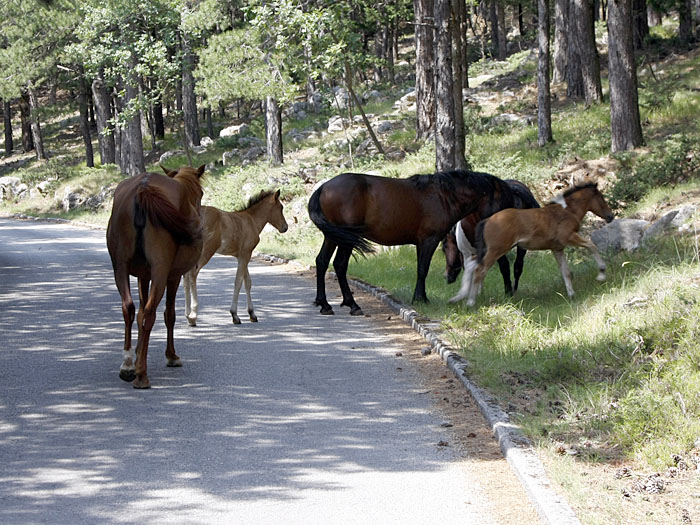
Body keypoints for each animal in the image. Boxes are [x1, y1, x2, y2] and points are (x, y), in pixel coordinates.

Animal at [106, 164, 205, 389]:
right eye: (201, 193)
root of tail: (143, 189)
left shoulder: (142, 275)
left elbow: (140, 313)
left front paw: (137, 355)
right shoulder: (173, 276)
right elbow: (169, 315)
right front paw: (171, 356)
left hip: (120, 267)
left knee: (128, 308)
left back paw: (127, 365)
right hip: (161, 271)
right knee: (151, 312)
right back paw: (141, 375)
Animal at [183, 190, 288, 326]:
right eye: (281, 207)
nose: (285, 227)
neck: (252, 220)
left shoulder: (242, 255)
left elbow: (247, 282)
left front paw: (252, 314)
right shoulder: (245, 254)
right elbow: (238, 282)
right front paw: (235, 315)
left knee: (185, 276)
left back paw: (187, 314)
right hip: (206, 251)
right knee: (192, 274)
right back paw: (193, 315)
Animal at [307, 170, 517, 316]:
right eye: (504, 200)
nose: (507, 226)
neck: (443, 196)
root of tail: (324, 187)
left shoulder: (421, 243)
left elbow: (420, 269)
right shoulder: (428, 241)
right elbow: (422, 270)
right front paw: (420, 298)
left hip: (333, 236)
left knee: (322, 262)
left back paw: (324, 304)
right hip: (345, 239)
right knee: (340, 265)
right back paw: (352, 304)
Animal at [463, 181, 614, 307]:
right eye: (601, 197)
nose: (611, 216)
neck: (566, 211)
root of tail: (487, 220)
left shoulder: (557, 248)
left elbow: (565, 271)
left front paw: (571, 295)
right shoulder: (569, 237)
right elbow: (591, 245)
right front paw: (601, 273)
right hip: (496, 250)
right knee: (480, 271)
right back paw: (470, 302)